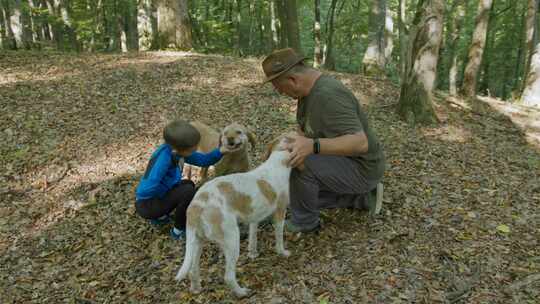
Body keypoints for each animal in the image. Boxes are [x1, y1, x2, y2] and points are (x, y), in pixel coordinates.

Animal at [175, 133, 294, 296]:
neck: (277, 161)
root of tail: (196, 205)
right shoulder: (280, 212)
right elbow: (279, 237)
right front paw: (282, 252)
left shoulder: (254, 218)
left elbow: (253, 238)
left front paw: (253, 253)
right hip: (232, 240)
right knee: (228, 277)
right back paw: (241, 292)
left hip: (198, 241)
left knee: (193, 271)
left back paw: (196, 288)